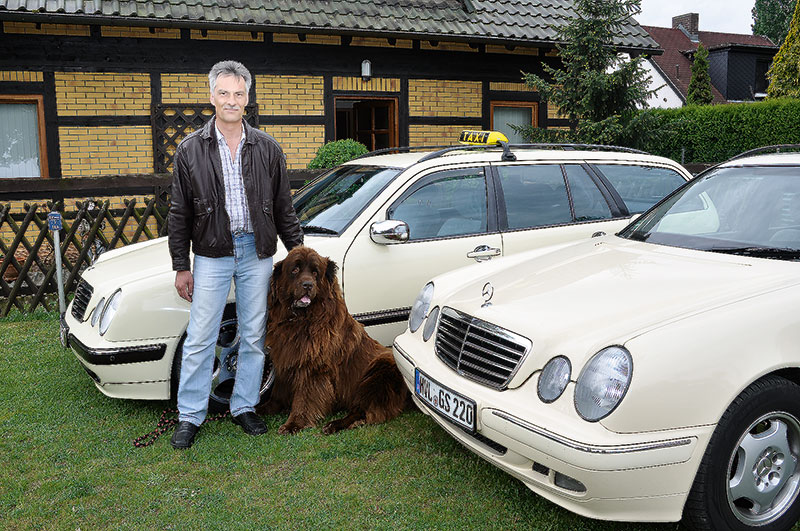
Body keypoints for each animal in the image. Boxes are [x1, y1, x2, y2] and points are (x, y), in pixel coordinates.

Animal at [260, 247, 410, 434]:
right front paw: (264, 408)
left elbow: (304, 398)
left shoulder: (313, 368)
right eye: (295, 270)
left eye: (315, 272)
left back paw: (334, 425)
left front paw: (294, 424)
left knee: (363, 411)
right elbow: (278, 391)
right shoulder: (285, 360)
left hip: (378, 375)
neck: (301, 320)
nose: (308, 285)